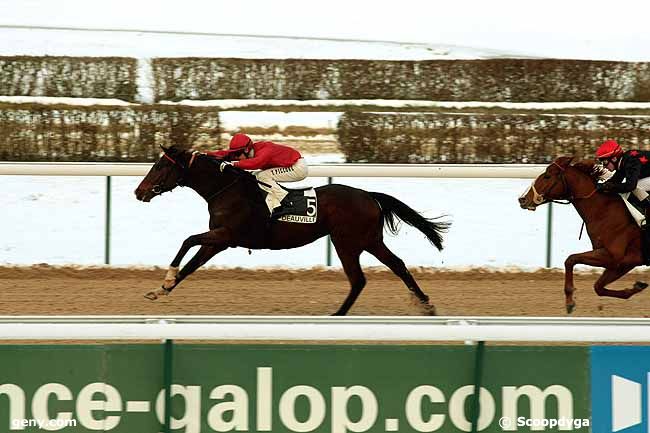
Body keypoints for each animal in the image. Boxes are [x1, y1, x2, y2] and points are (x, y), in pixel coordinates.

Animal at [134, 145, 448, 314]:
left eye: (160, 166)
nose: (139, 192)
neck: (227, 190)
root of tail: (369, 195)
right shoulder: (219, 241)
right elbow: (191, 265)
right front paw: (161, 289)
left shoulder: (227, 235)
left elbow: (187, 240)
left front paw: (166, 278)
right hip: (369, 240)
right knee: (398, 265)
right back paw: (426, 304)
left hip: (347, 242)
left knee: (359, 279)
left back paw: (338, 314)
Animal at [516, 157, 644, 312]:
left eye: (547, 176)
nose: (522, 199)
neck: (604, 211)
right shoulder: (623, 262)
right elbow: (598, 287)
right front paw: (637, 287)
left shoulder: (613, 256)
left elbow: (571, 259)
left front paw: (569, 301)